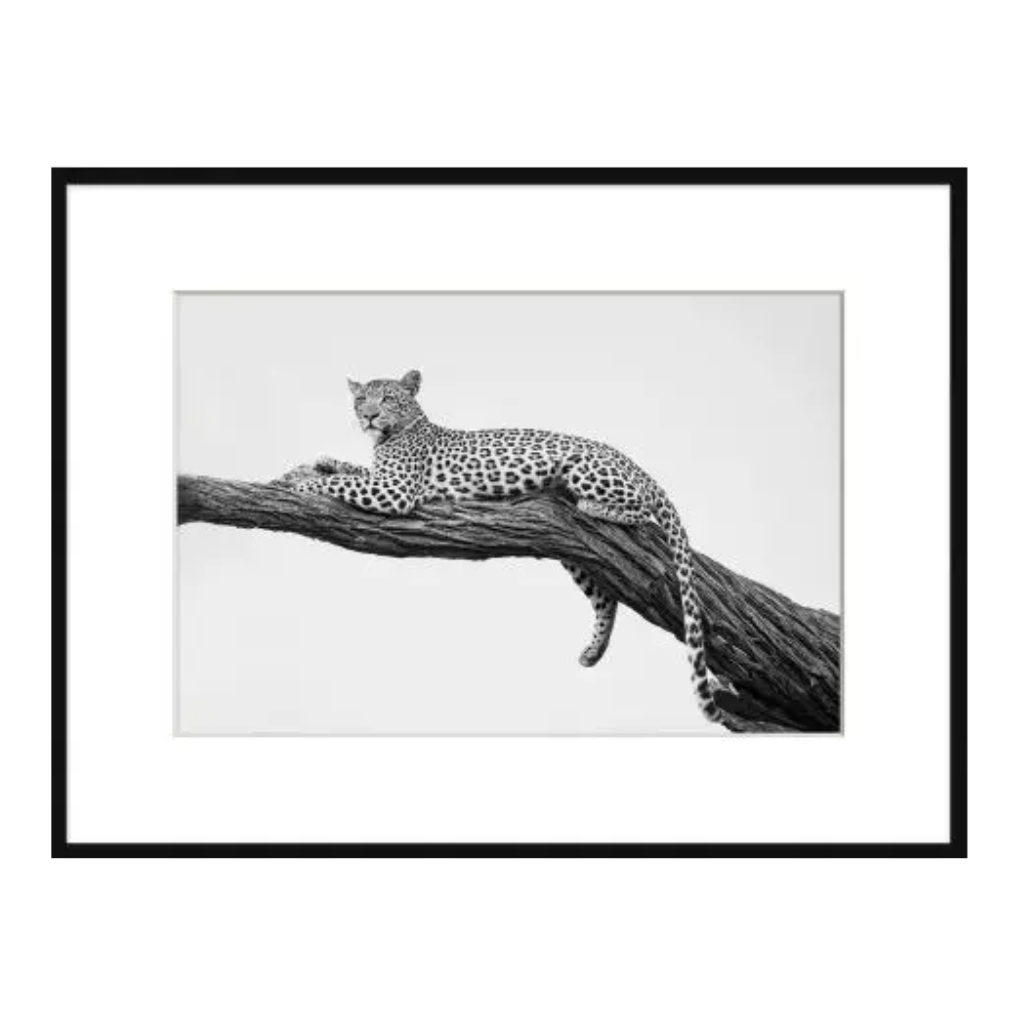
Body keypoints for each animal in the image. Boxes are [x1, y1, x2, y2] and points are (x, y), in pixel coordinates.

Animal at [282, 369, 730, 722]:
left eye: (388, 398)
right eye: (361, 399)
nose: (369, 416)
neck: (395, 434)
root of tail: (637, 465)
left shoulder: (394, 491)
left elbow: (343, 482)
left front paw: (299, 486)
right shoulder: (380, 478)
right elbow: (351, 469)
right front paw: (317, 463)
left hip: (585, 469)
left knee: (639, 510)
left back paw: (590, 503)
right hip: (575, 555)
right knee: (607, 599)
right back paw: (593, 650)